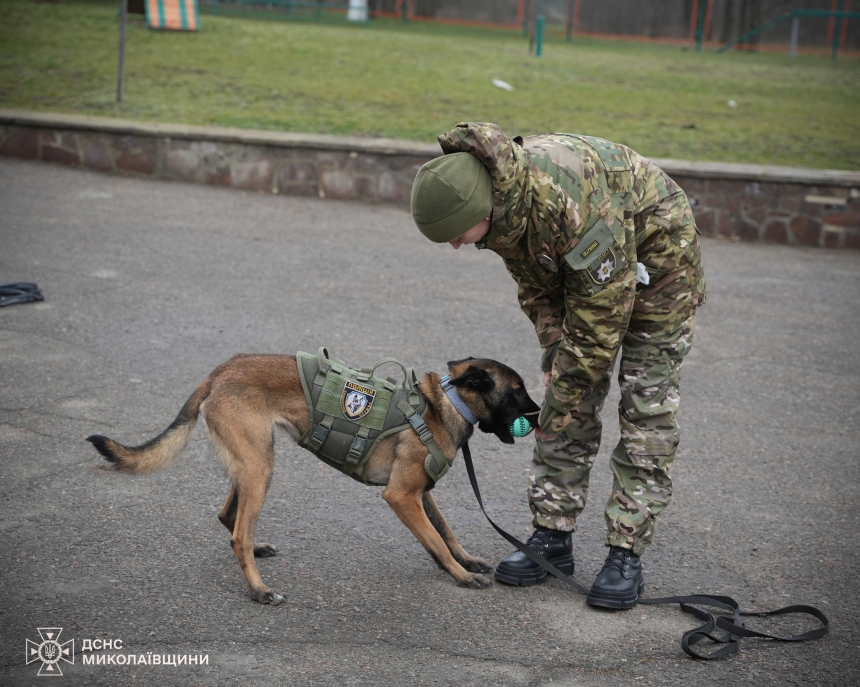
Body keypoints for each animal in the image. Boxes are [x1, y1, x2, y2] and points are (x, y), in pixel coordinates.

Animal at [90, 354, 540, 600]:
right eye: (517, 391)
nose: (538, 417)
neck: (444, 403)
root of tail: (218, 372)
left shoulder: (420, 493)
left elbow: (444, 532)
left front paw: (463, 561)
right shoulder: (400, 495)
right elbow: (436, 539)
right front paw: (461, 576)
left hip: (253, 461)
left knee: (229, 517)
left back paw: (257, 550)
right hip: (260, 466)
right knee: (237, 534)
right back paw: (259, 590)